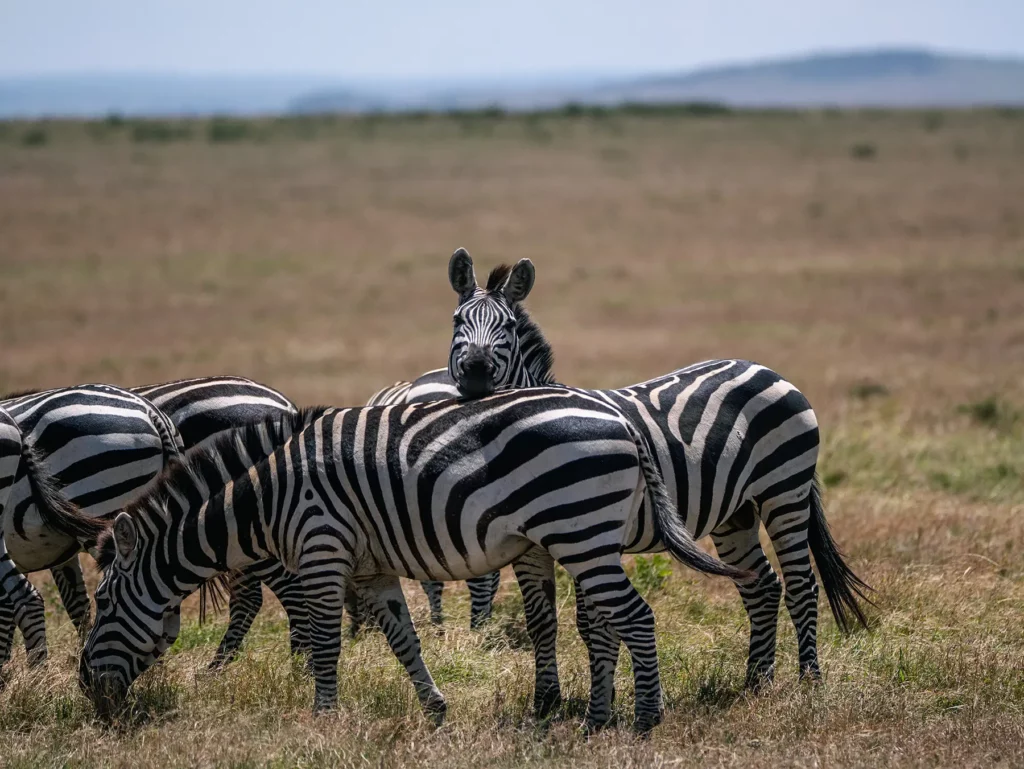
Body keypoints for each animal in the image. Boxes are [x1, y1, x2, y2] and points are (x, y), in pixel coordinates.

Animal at [78, 391, 749, 733]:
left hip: (579, 530)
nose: (85, 688)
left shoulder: (322, 551)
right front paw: (435, 708)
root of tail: (623, 422)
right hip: (586, 537)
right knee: (612, 622)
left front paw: (322, 719)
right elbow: (404, 640)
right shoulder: (371, 569)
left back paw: (646, 719)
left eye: (104, 600)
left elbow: (325, 643)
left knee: (637, 618)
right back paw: (597, 719)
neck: (266, 498)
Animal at [375, 248, 870, 696]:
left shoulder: (583, 532)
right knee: (762, 586)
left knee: (801, 583)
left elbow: (590, 624)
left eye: (509, 328)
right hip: (736, 510)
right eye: (457, 321)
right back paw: (756, 681)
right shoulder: (532, 546)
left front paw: (602, 701)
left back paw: (808, 681)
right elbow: (542, 621)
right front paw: (549, 702)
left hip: (784, 489)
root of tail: (762, 367)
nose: (475, 372)